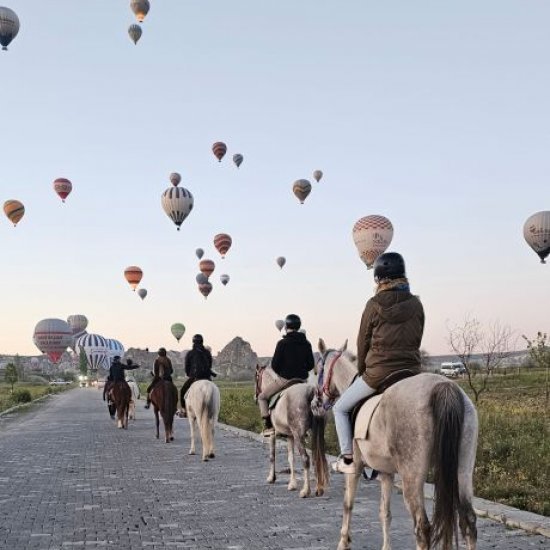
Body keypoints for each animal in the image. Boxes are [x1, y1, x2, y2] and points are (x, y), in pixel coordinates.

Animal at [256, 366, 330, 500]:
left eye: (256, 377)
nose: (255, 396)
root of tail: (311, 391)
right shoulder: (290, 436)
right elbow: (291, 458)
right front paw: (292, 484)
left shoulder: (274, 435)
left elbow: (272, 455)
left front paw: (271, 477)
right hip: (315, 434)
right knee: (317, 457)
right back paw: (319, 489)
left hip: (298, 435)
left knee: (306, 459)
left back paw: (305, 491)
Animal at [316, 340, 480, 550]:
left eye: (317, 369)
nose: (317, 402)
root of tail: (443, 386)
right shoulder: (386, 473)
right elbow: (385, 513)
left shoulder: (355, 469)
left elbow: (348, 505)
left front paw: (343, 542)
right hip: (463, 471)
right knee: (468, 522)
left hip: (411, 477)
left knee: (422, 528)